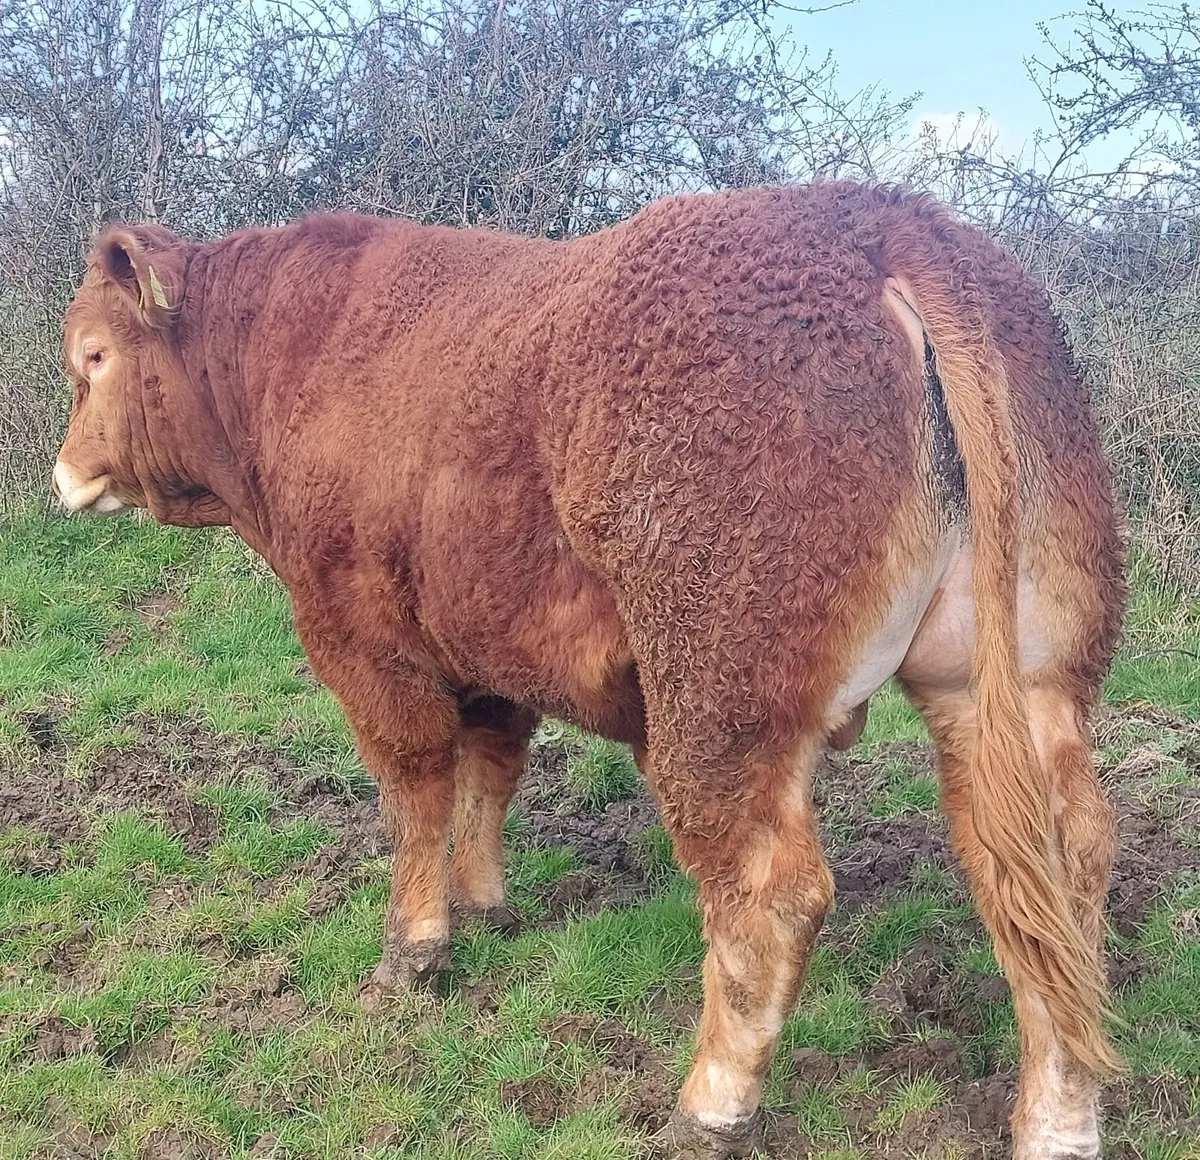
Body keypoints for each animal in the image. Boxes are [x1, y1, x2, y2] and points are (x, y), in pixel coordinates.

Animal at [52, 181, 1125, 1159]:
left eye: (93, 358)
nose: (63, 473)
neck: (284, 361)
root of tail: (888, 219)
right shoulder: (487, 648)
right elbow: (489, 774)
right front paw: (487, 907)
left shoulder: (363, 641)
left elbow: (417, 792)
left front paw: (412, 955)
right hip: (1020, 681)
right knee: (1053, 867)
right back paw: (1058, 1120)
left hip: (720, 698)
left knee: (770, 895)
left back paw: (708, 1108)